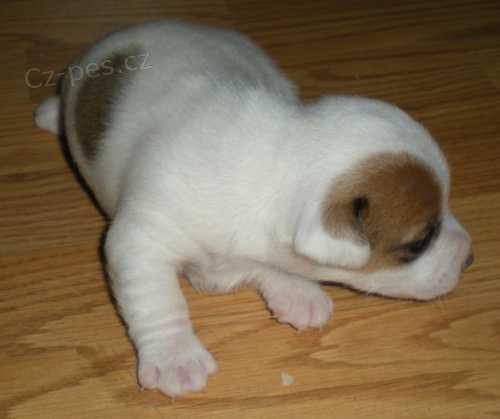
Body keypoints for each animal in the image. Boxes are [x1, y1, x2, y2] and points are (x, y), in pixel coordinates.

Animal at [34, 20, 473, 398]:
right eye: (418, 242)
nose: (469, 257)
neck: (274, 158)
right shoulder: (141, 239)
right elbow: (158, 299)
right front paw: (175, 355)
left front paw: (297, 290)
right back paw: (51, 113)